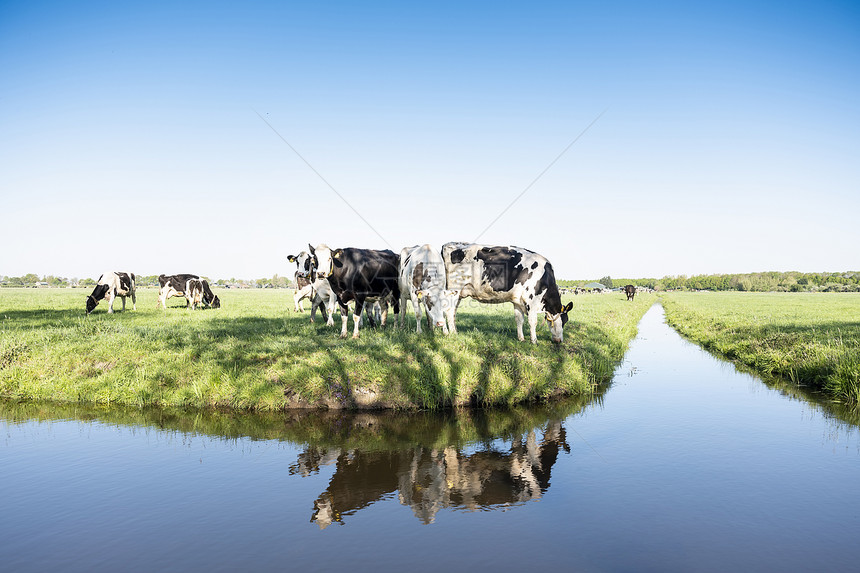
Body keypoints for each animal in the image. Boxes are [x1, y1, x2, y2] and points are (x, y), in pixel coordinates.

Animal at [440, 242, 576, 344]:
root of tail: (449, 244)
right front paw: (534, 341)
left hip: (456, 293)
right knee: (449, 311)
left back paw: (449, 331)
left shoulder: (518, 301)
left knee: (450, 311)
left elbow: (519, 319)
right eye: (565, 321)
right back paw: (452, 333)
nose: (559, 341)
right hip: (454, 290)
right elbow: (533, 322)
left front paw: (521, 338)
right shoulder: (531, 300)